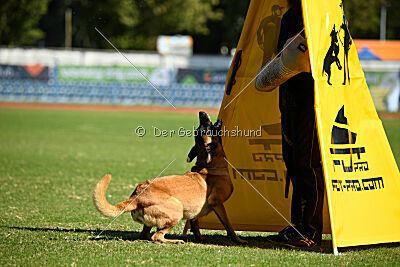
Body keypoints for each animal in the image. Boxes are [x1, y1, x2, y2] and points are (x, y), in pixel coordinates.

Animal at [93, 111, 247, 245]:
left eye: (201, 128)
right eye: (206, 128)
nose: (201, 112)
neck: (207, 165)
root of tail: (136, 197)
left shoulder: (195, 212)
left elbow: (195, 224)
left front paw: (199, 237)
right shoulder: (217, 203)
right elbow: (228, 225)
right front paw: (238, 240)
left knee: (146, 235)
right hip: (177, 208)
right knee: (157, 236)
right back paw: (175, 241)